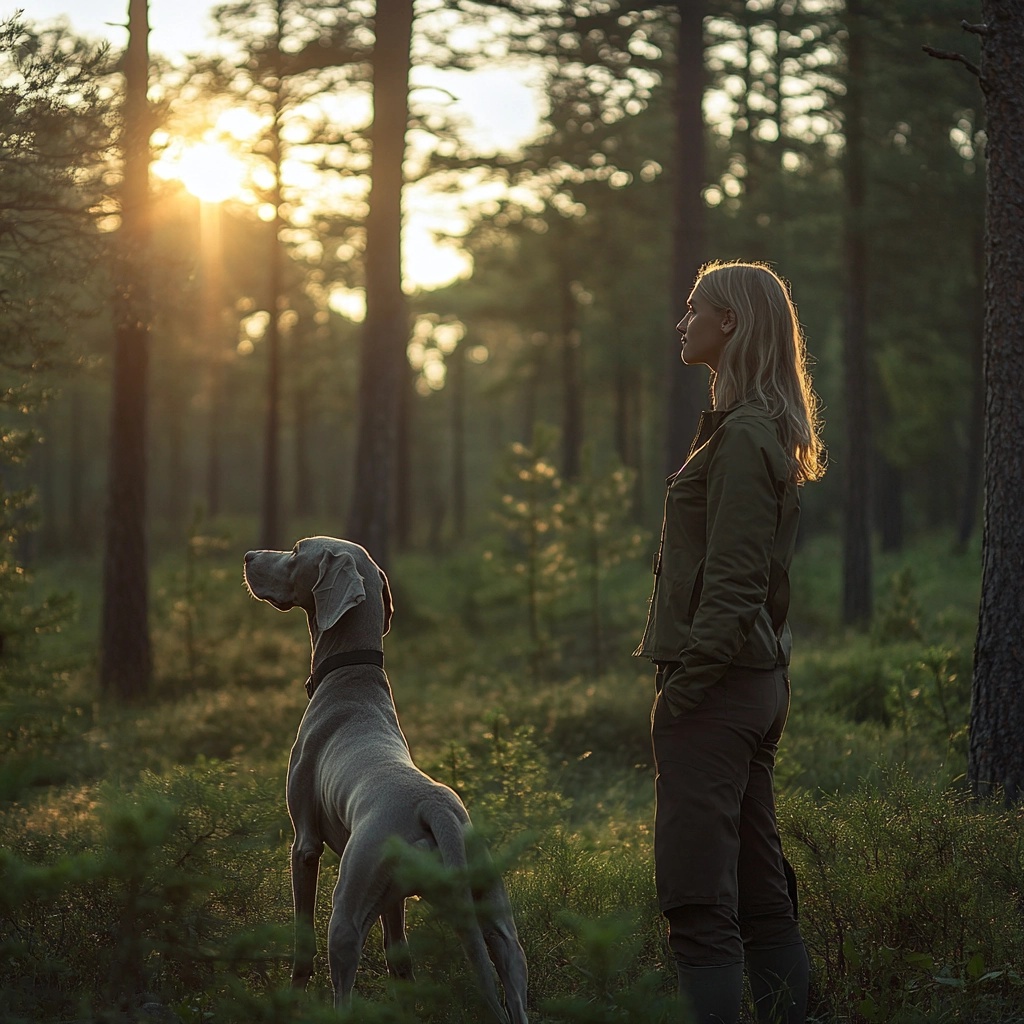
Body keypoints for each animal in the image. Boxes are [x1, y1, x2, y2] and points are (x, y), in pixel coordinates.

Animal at [240, 532, 528, 1019]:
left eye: (297, 550)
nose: (248, 556)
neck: (353, 676)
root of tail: (435, 807)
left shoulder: (304, 844)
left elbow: (302, 942)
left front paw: (292, 995)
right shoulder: (394, 898)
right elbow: (401, 962)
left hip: (347, 907)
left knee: (342, 985)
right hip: (494, 914)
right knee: (511, 974)